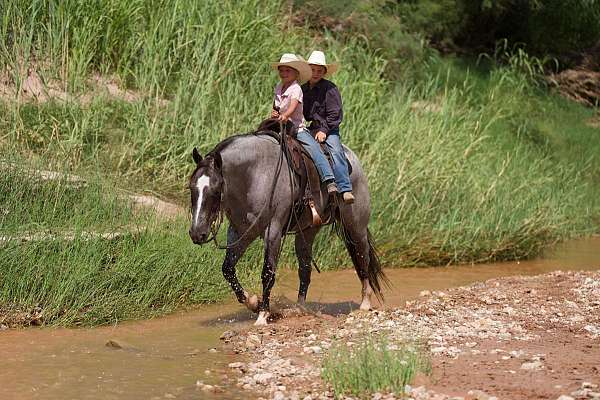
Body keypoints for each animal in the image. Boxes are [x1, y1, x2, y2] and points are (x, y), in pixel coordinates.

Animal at [188, 128, 390, 324]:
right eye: (191, 187)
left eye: (215, 190)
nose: (197, 233)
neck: (256, 175)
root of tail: (351, 158)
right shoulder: (241, 232)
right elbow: (228, 269)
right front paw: (253, 302)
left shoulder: (273, 231)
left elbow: (268, 273)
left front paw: (263, 315)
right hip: (307, 232)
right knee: (305, 269)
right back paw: (299, 309)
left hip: (356, 226)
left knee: (362, 258)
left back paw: (365, 303)